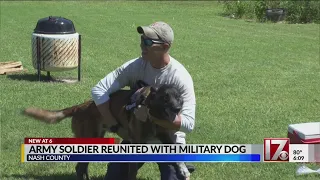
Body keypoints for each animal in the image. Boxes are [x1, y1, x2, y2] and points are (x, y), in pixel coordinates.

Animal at [22, 82, 190, 180]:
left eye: (178, 97)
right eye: (165, 98)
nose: (177, 108)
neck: (151, 112)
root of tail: (80, 107)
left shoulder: (165, 137)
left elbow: (177, 154)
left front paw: (182, 170)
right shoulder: (136, 144)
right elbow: (132, 172)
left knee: (81, 167)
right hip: (89, 141)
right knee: (79, 168)